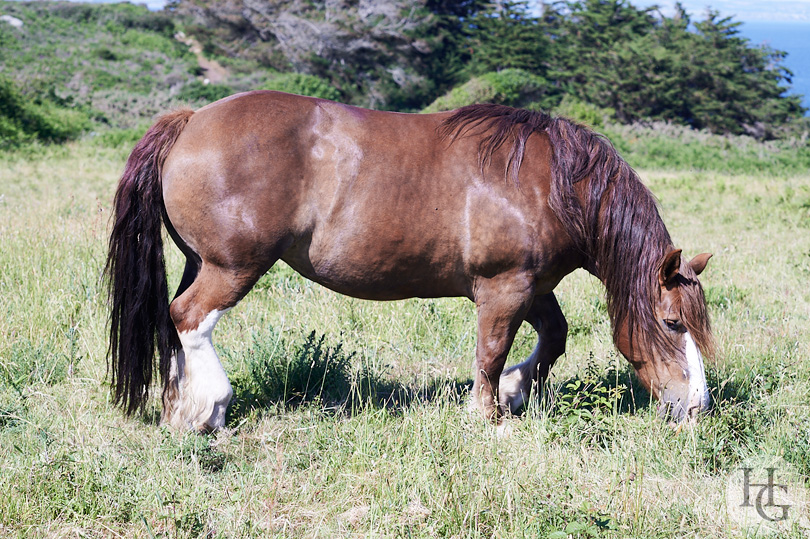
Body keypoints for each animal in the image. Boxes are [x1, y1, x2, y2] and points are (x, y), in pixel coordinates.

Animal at [104, 90, 712, 432]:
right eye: (672, 323)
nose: (696, 408)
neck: (552, 184)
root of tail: (191, 120)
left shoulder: (533, 287)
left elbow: (553, 338)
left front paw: (514, 393)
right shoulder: (503, 289)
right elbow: (490, 354)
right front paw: (490, 417)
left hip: (201, 261)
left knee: (173, 323)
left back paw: (178, 407)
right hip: (232, 266)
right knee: (190, 319)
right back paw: (210, 407)